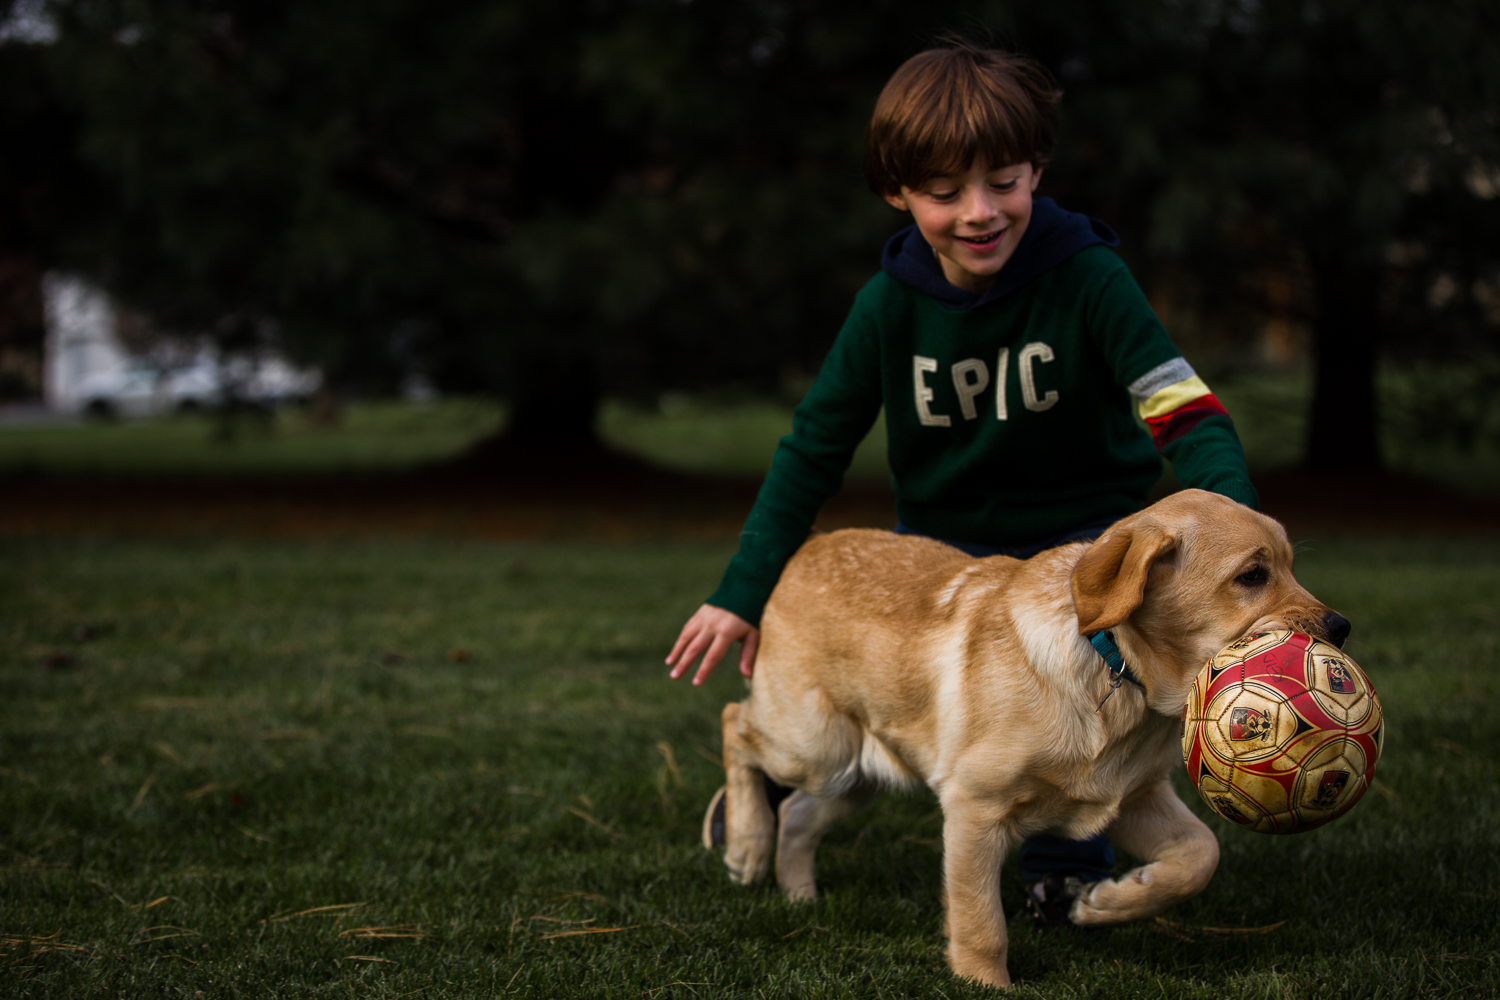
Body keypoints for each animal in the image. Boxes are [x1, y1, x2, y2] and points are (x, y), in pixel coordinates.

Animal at [714, 488, 1350, 989]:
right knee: (734, 725)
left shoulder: (1132, 796)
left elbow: (1199, 855)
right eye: (1252, 576)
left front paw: (1107, 903)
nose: (1342, 627)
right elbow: (980, 920)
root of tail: (809, 546)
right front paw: (984, 984)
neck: (1117, 671)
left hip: (859, 771)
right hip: (814, 743)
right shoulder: (974, 808)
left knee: (797, 812)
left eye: (1290, 566)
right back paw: (745, 845)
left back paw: (799, 893)